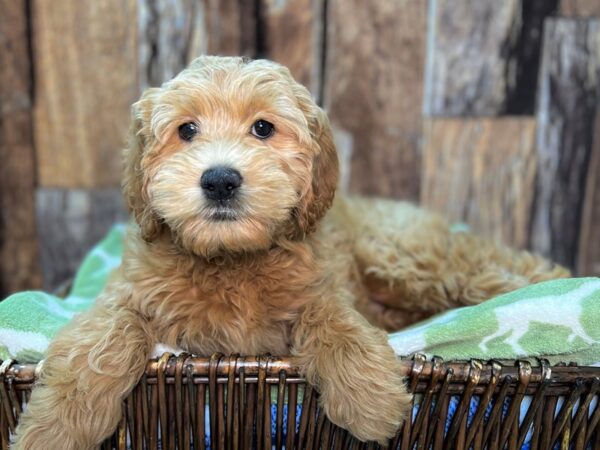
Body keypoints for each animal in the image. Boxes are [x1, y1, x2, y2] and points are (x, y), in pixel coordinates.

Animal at [12, 56, 568, 450]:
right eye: (186, 130)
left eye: (263, 128)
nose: (219, 179)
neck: (231, 257)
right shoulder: (127, 293)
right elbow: (106, 339)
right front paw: (52, 428)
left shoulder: (318, 283)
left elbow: (333, 321)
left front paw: (370, 397)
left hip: (402, 259)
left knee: (483, 268)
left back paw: (552, 280)